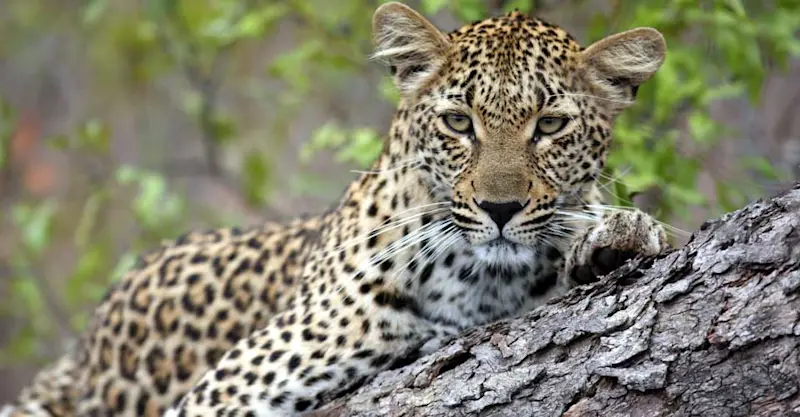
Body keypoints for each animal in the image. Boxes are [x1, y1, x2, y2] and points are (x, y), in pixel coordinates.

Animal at [3, 2, 669, 416]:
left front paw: (620, 234)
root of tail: (80, 354)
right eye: (459, 122)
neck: (481, 281)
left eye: (551, 125)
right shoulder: (229, 387)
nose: (499, 208)